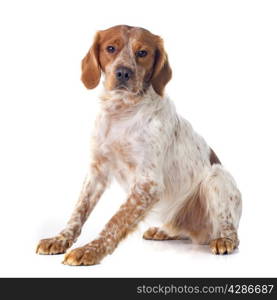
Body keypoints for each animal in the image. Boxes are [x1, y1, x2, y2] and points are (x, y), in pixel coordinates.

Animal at [35, 25, 240, 264]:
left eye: (142, 53)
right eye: (110, 48)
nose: (123, 72)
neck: (121, 112)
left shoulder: (147, 184)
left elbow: (116, 221)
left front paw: (90, 250)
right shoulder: (97, 171)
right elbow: (78, 211)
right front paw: (59, 239)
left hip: (217, 178)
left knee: (230, 230)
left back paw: (224, 240)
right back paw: (162, 231)